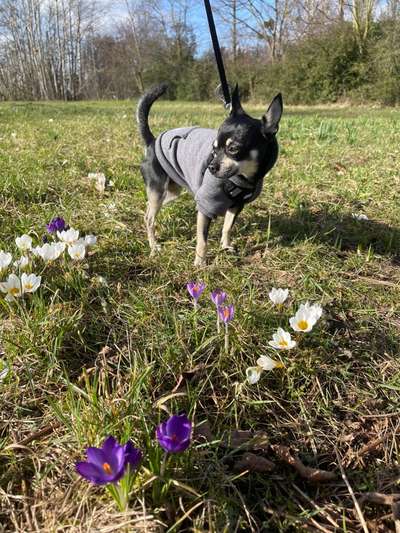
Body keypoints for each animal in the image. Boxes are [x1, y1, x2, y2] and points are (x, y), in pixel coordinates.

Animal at [136, 84, 282, 264]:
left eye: (233, 149)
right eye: (214, 149)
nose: (211, 167)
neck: (242, 179)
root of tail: (152, 142)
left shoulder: (236, 205)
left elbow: (227, 227)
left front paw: (225, 246)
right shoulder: (205, 206)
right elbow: (202, 239)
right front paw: (200, 262)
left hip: (170, 192)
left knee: (148, 209)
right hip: (158, 191)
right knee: (149, 218)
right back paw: (154, 246)